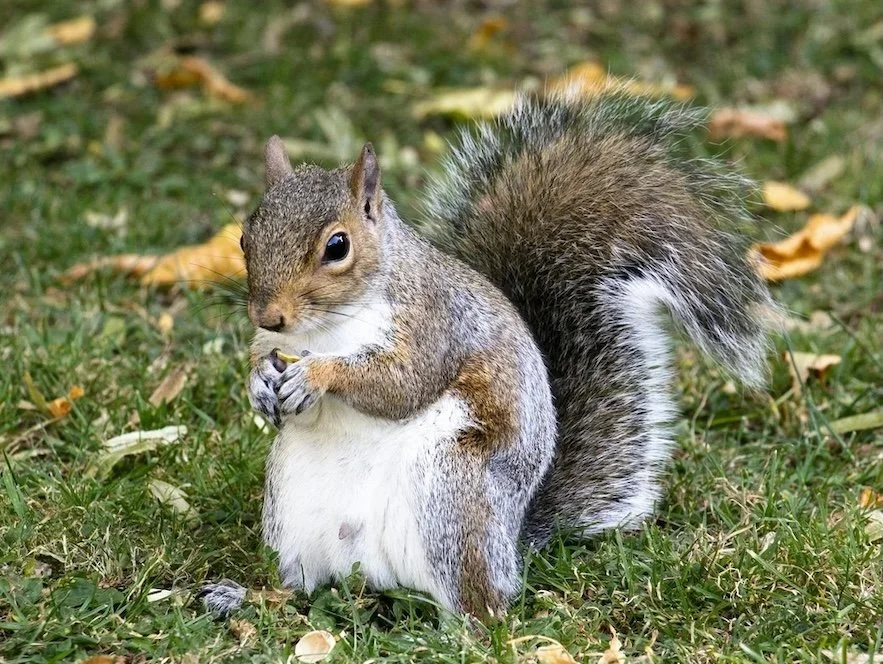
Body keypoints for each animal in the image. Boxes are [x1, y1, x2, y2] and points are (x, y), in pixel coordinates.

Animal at [200, 90, 773, 620]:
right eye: (244, 238)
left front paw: (317, 375)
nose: (268, 316)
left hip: (454, 492)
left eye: (337, 246)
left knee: (483, 605)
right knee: (302, 586)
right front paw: (258, 384)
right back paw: (244, 596)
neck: (324, 329)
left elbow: (401, 384)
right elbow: (266, 361)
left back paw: (461, 629)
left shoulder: (435, 326)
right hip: (293, 510)